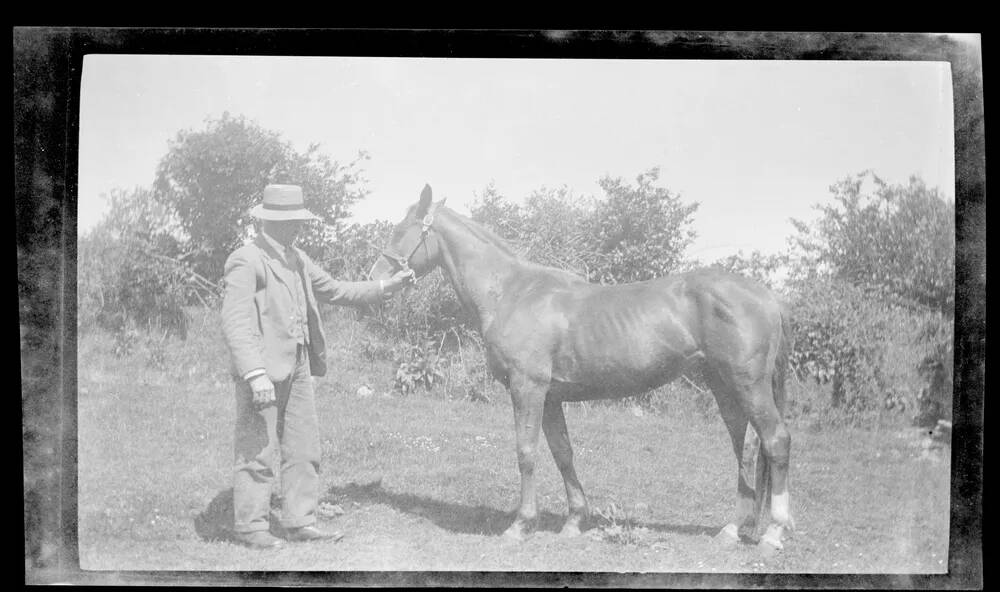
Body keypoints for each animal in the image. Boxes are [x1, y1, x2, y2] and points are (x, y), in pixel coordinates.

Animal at [370, 185, 796, 556]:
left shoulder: (528, 388)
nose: (375, 279)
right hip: (724, 387)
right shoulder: (551, 397)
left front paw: (521, 525)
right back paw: (731, 529)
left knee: (775, 441)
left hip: (748, 385)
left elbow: (526, 452)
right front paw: (575, 521)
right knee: (745, 447)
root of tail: (769, 296)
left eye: (400, 230)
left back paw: (774, 533)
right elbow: (563, 453)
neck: (512, 292)